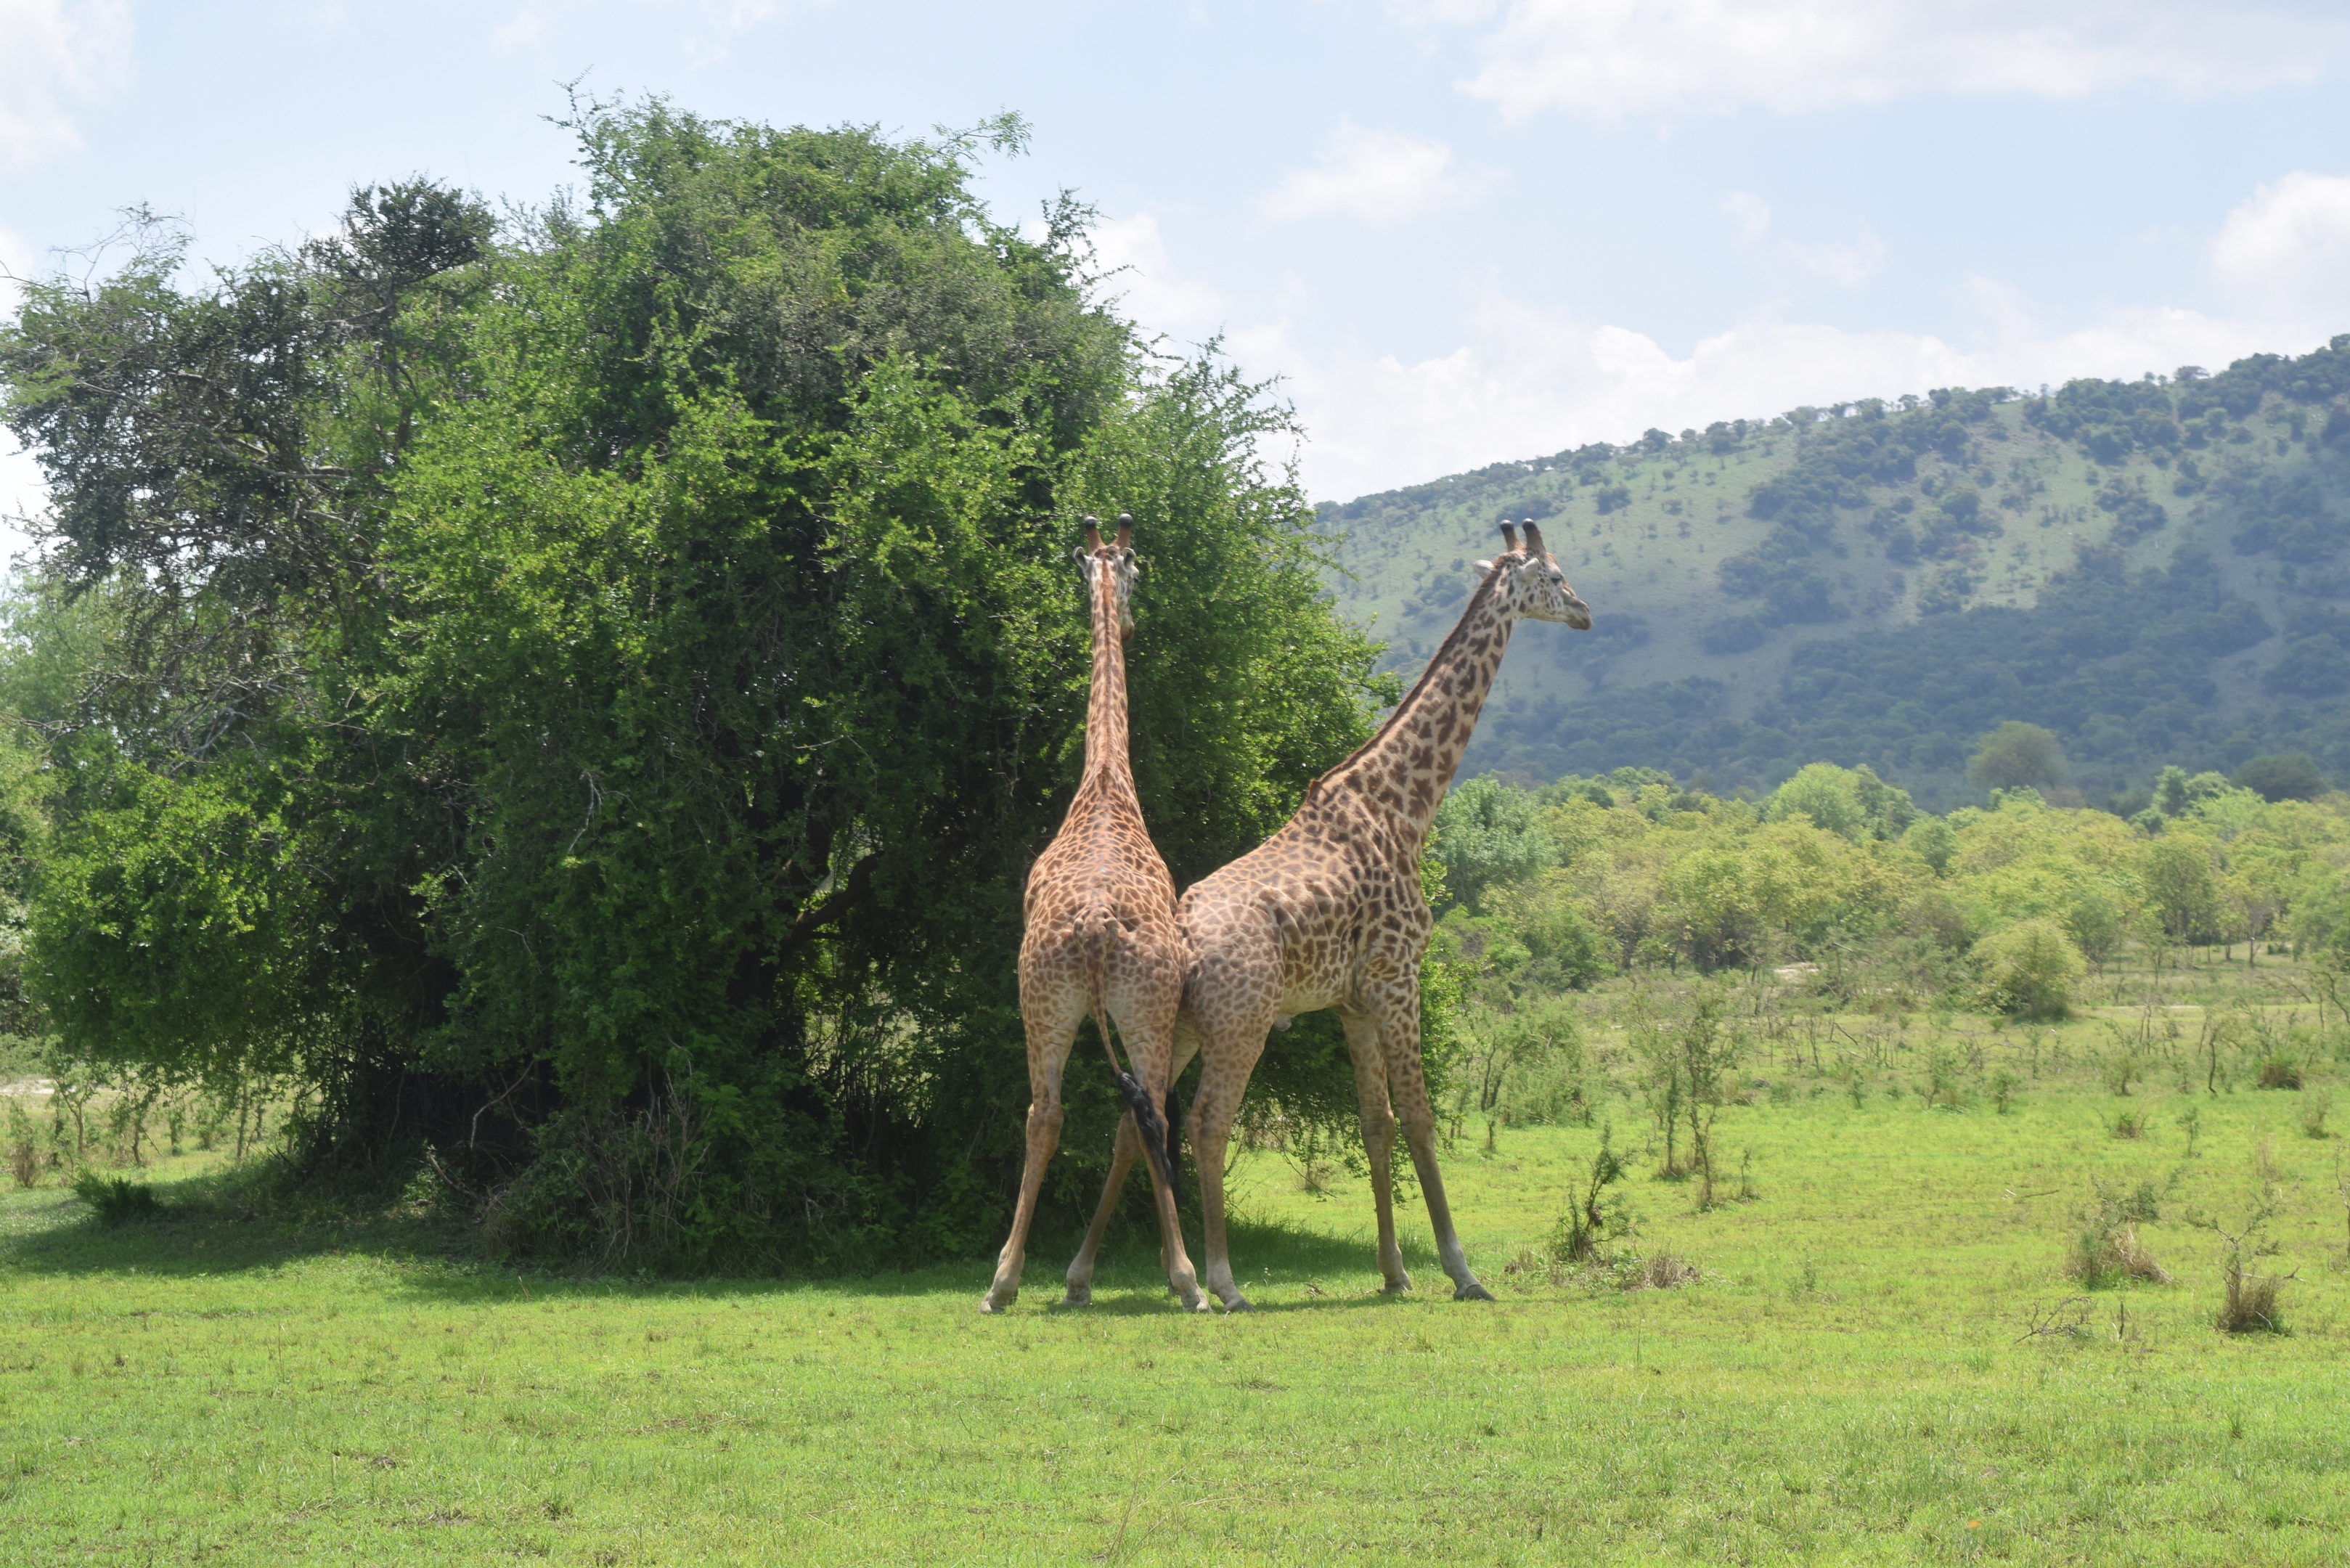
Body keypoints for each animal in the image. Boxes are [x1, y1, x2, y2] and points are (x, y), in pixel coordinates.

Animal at [982, 515, 1208, 1315]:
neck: (1107, 777)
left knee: (1045, 1113)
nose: (1133, 623)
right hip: (1139, 1006)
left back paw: (1002, 1282)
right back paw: (1187, 1281)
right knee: (1148, 1118)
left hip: (1046, 1000)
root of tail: (1096, 932)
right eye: (1134, 572)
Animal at [1064, 520, 1589, 1311]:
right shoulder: (1399, 978)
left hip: (1175, 1022)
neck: (1402, 807)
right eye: (1554, 577)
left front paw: (1396, 1273)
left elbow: (1376, 1124)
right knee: (1207, 1123)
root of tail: (1175, 934)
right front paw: (1463, 1272)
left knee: (1137, 1122)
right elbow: (1422, 1118)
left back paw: (1086, 1275)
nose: (1586, 612)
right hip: (1242, 1024)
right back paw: (1222, 1281)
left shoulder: (1353, 1001)